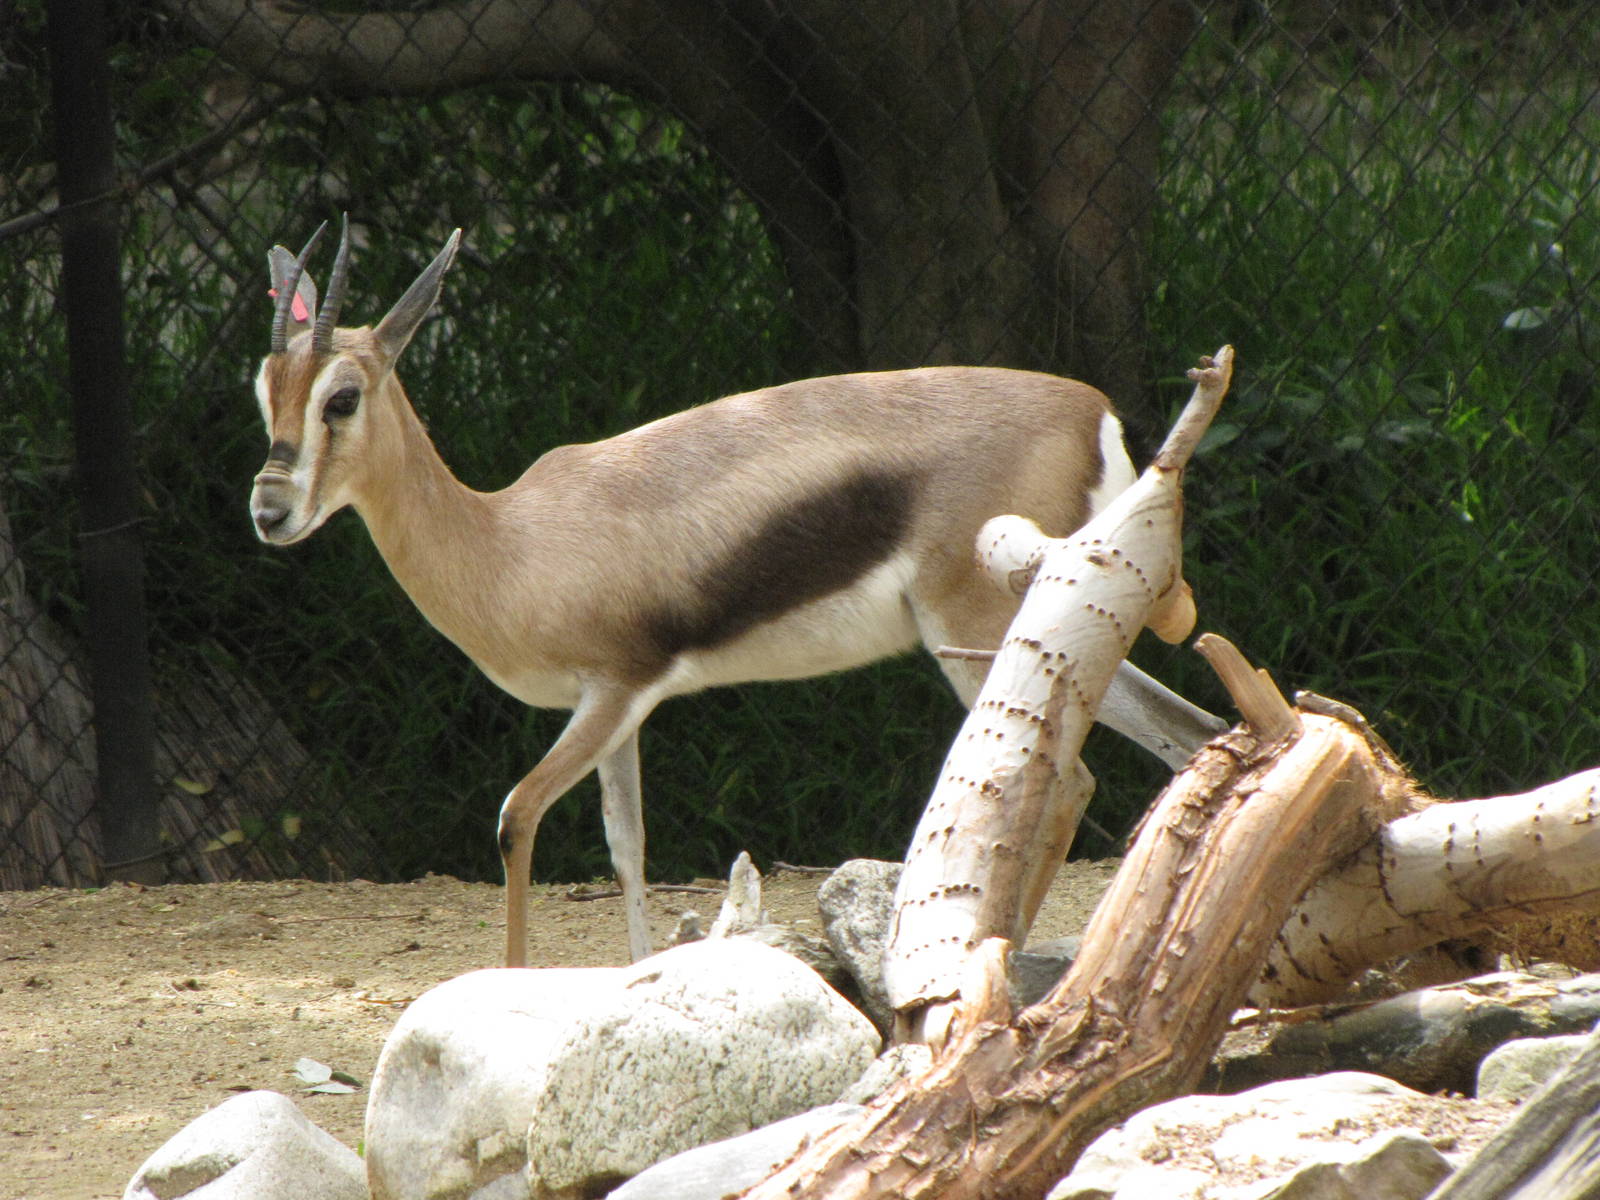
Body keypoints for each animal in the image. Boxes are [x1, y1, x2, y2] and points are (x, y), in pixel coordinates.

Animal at [250, 218, 1224, 968]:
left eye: (342, 397)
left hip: (979, 636)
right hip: (1064, 616)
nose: (268, 509)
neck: (508, 541)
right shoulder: (617, 714)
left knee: (1063, 776)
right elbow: (627, 846)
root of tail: (1093, 415)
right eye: (265, 390)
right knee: (1187, 732)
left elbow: (516, 815)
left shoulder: (613, 693)